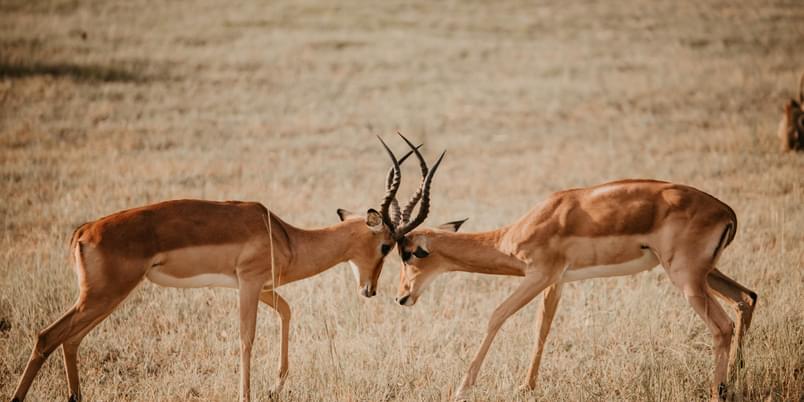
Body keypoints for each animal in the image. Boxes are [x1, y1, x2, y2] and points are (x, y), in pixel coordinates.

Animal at [9, 135, 443, 402]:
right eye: (386, 245)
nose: (370, 289)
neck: (285, 235)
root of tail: (83, 230)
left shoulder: (256, 287)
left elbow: (287, 311)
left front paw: (275, 388)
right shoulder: (249, 285)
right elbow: (246, 339)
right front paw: (249, 394)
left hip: (102, 298)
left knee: (68, 340)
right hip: (106, 294)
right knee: (49, 336)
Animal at [394, 179, 757, 401]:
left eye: (408, 253)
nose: (401, 296)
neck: (515, 234)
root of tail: (726, 211)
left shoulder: (538, 275)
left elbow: (496, 316)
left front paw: (461, 390)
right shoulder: (555, 281)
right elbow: (542, 328)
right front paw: (526, 387)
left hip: (686, 279)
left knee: (722, 325)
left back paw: (716, 392)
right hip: (705, 275)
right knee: (746, 298)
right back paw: (736, 379)